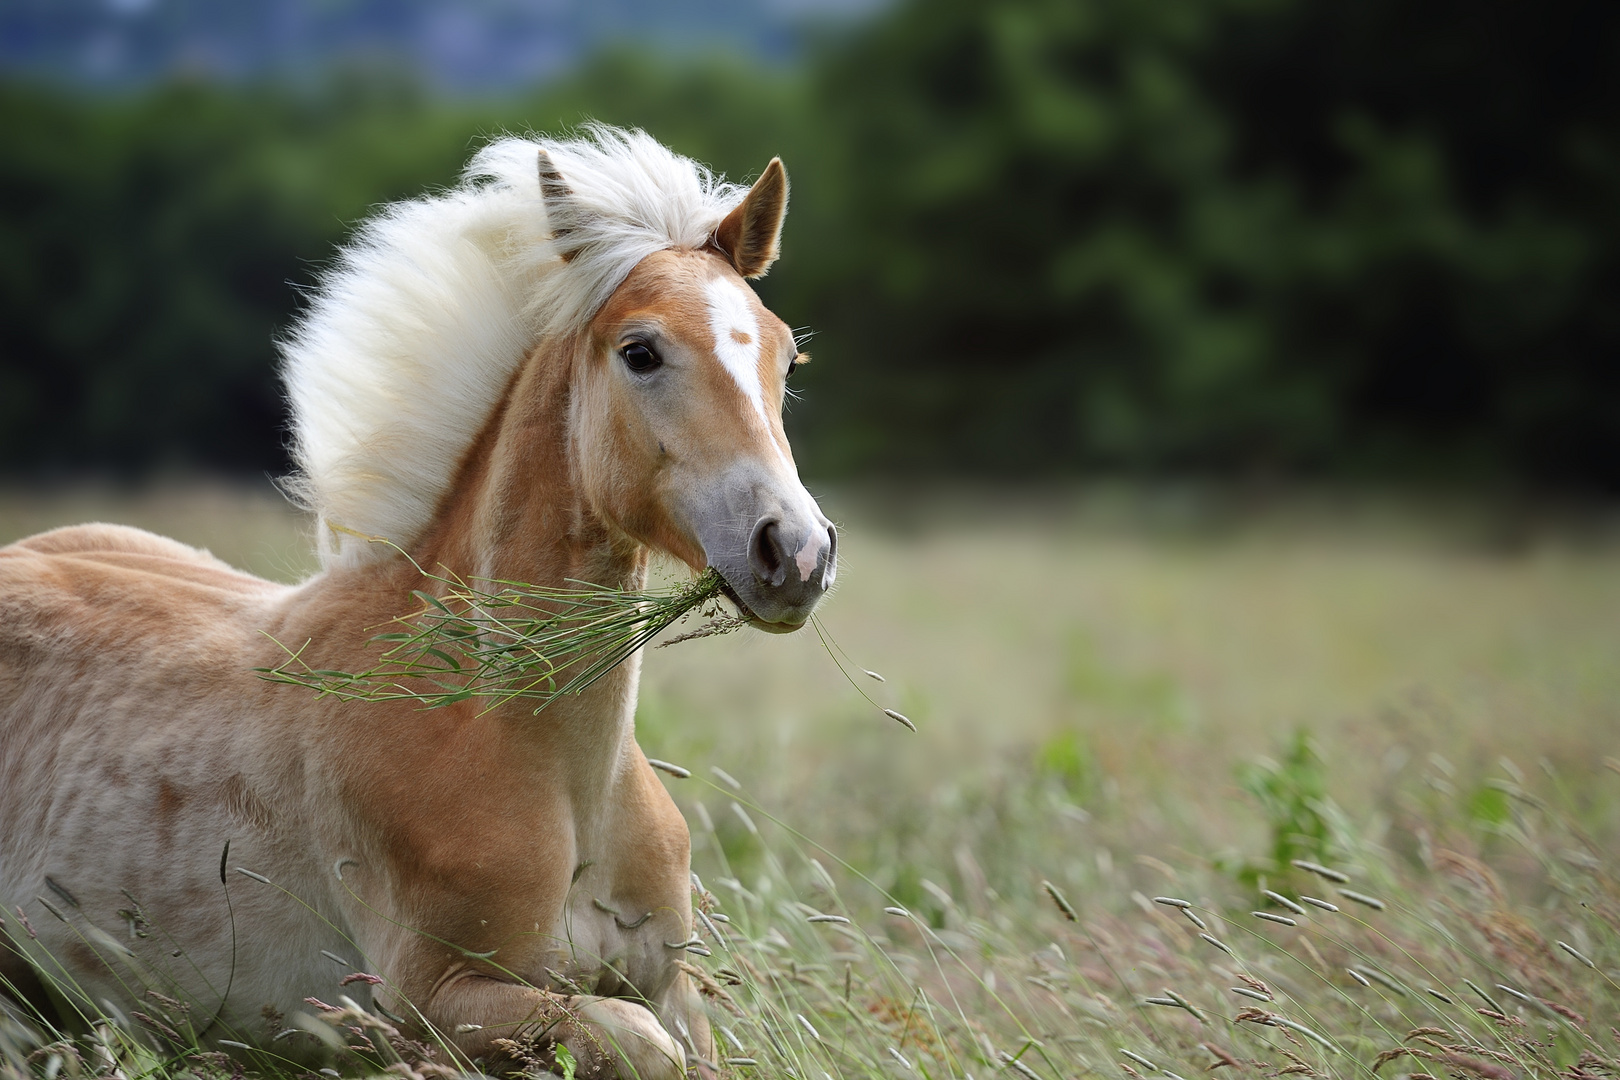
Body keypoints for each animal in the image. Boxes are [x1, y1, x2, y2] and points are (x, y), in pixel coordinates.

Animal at [0, 122, 835, 1075]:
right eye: (641, 352)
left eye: (785, 353)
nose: (796, 552)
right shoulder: (431, 1003)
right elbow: (632, 1041)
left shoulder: (672, 981)